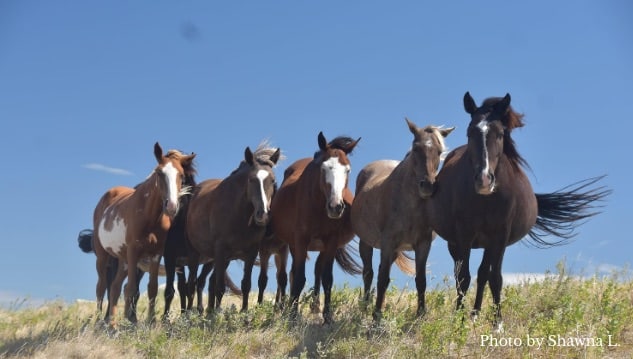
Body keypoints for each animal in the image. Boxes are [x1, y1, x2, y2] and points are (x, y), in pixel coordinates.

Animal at [92, 144, 195, 326]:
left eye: (181, 175)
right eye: (160, 173)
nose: (172, 206)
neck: (149, 216)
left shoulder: (156, 254)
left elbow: (152, 288)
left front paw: (151, 321)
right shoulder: (134, 252)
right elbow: (132, 288)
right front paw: (130, 322)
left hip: (123, 259)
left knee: (115, 287)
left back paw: (112, 323)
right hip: (103, 256)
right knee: (102, 287)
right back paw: (99, 321)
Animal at [184, 143, 280, 316]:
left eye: (273, 180)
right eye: (251, 179)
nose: (262, 214)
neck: (238, 214)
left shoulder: (250, 253)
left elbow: (246, 284)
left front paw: (244, 312)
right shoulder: (221, 250)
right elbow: (220, 287)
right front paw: (216, 316)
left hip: (216, 259)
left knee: (204, 281)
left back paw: (205, 311)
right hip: (197, 254)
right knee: (192, 283)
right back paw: (190, 313)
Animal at [270, 133, 362, 326]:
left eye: (347, 170)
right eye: (324, 168)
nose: (336, 207)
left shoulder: (331, 241)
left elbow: (327, 278)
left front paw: (328, 316)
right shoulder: (301, 240)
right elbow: (299, 278)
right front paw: (292, 316)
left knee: (317, 269)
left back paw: (314, 306)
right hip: (292, 245)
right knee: (290, 273)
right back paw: (286, 308)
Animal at [350, 119, 454, 320]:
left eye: (439, 151)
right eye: (416, 148)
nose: (427, 186)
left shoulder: (423, 244)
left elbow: (420, 280)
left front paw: (421, 314)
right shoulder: (388, 242)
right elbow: (382, 279)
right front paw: (376, 316)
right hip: (366, 243)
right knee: (369, 273)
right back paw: (365, 307)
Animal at [428, 93, 608, 332]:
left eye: (500, 134)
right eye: (470, 132)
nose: (484, 180)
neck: (486, 200)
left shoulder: (500, 236)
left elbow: (495, 278)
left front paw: (497, 325)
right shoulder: (464, 235)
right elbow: (463, 278)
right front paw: (458, 322)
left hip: (489, 243)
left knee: (484, 274)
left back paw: (476, 314)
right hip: (456, 243)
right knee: (465, 274)